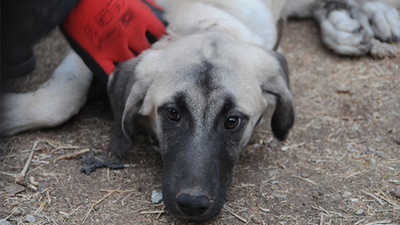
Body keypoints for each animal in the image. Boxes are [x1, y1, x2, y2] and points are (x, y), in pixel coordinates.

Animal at [0, 0, 400, 221]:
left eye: (233, 121)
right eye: (172, 113)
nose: (192, 205)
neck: (198, 17)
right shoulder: (97, 48)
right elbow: (61, 99)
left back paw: (368, 17)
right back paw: (343, 24)